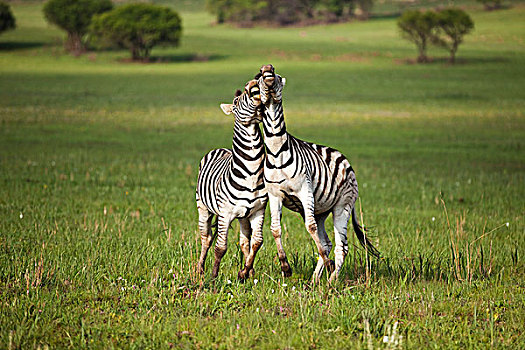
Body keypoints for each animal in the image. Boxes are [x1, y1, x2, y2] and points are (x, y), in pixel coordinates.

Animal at [195, 80, 268, 282]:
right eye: (236, 101)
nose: (252, 84)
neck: (251, 173)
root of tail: (221, 149)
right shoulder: (225, 214)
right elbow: (220, 248)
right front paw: (213, 277)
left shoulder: (258, 211)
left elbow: (256, 242)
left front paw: (244, 272)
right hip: (203, 208)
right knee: (206, 238)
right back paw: (200, 270)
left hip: (243, 216)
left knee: (244, 242)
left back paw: (249, 272)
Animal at [256, 64, 378, 284]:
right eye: (260, 76)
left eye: (276, 76)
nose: (267, 68)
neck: (277, 151)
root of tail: (344, 158)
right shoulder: (275, 195)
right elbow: (275, 229)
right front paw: (285, 267)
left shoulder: (305, 191)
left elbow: (310, 227)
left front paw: (328, 266)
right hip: (322, 210)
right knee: (328, 243)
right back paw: (314, 281)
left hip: (342, 206)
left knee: (341, 247)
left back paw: (331, 281)